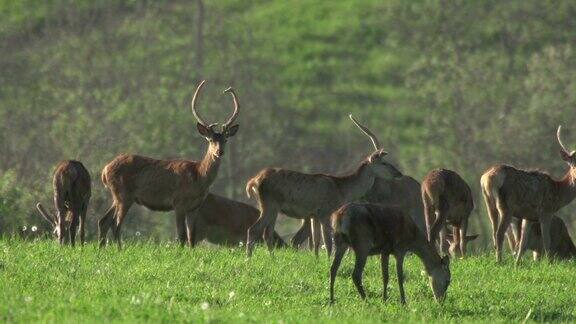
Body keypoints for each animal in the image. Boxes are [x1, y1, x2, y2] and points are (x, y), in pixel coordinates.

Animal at [100, 81, 240, 248]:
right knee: (116, 224)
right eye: (211, 140)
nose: (220, 152)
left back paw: (102, 248)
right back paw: (119, 249)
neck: (198, 177)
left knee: (104, 220)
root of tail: (104, 170)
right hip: (123, 194)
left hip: (117, 195)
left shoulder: (194, 207)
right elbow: (181, 236)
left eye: (225, 139)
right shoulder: (178, 202)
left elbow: (191, 238)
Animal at [245, 115, 402, 256]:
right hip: (269, 204)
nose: (399, 173)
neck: (342, 191)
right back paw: (249, 258)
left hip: (272, 207)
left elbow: (316, 242)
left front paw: (316, 261)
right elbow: (327, 243)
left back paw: (271, 258)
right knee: (254, 230)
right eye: (384, 163)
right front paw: (327, 262)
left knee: (267, 234)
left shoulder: (314, 215)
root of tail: (253, 181)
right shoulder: (325, 212)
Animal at [480, 124, 576, 264]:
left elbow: (523, 243)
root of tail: (487, 178)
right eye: (572, 164)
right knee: (499, 233)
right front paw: (548, 263)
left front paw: (517, 264)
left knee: (494, 232)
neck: (558, 194)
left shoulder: (528, 216)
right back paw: (499, 262)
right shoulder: (545, 212)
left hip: (488, 203)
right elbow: (547, 241)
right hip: (506, 206)